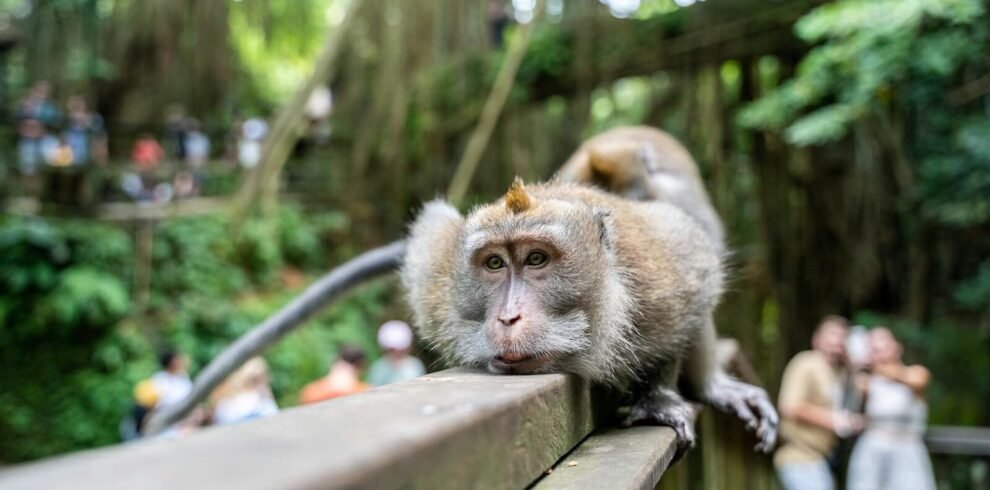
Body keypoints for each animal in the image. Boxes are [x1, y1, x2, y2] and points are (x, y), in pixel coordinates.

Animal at [401, 126, 777, 456]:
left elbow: (694, 282)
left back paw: (710, 385)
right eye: (495, 263)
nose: (508, 317)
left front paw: (658, 395)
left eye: (536, 259)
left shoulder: (664, 272)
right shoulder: (435, 283)